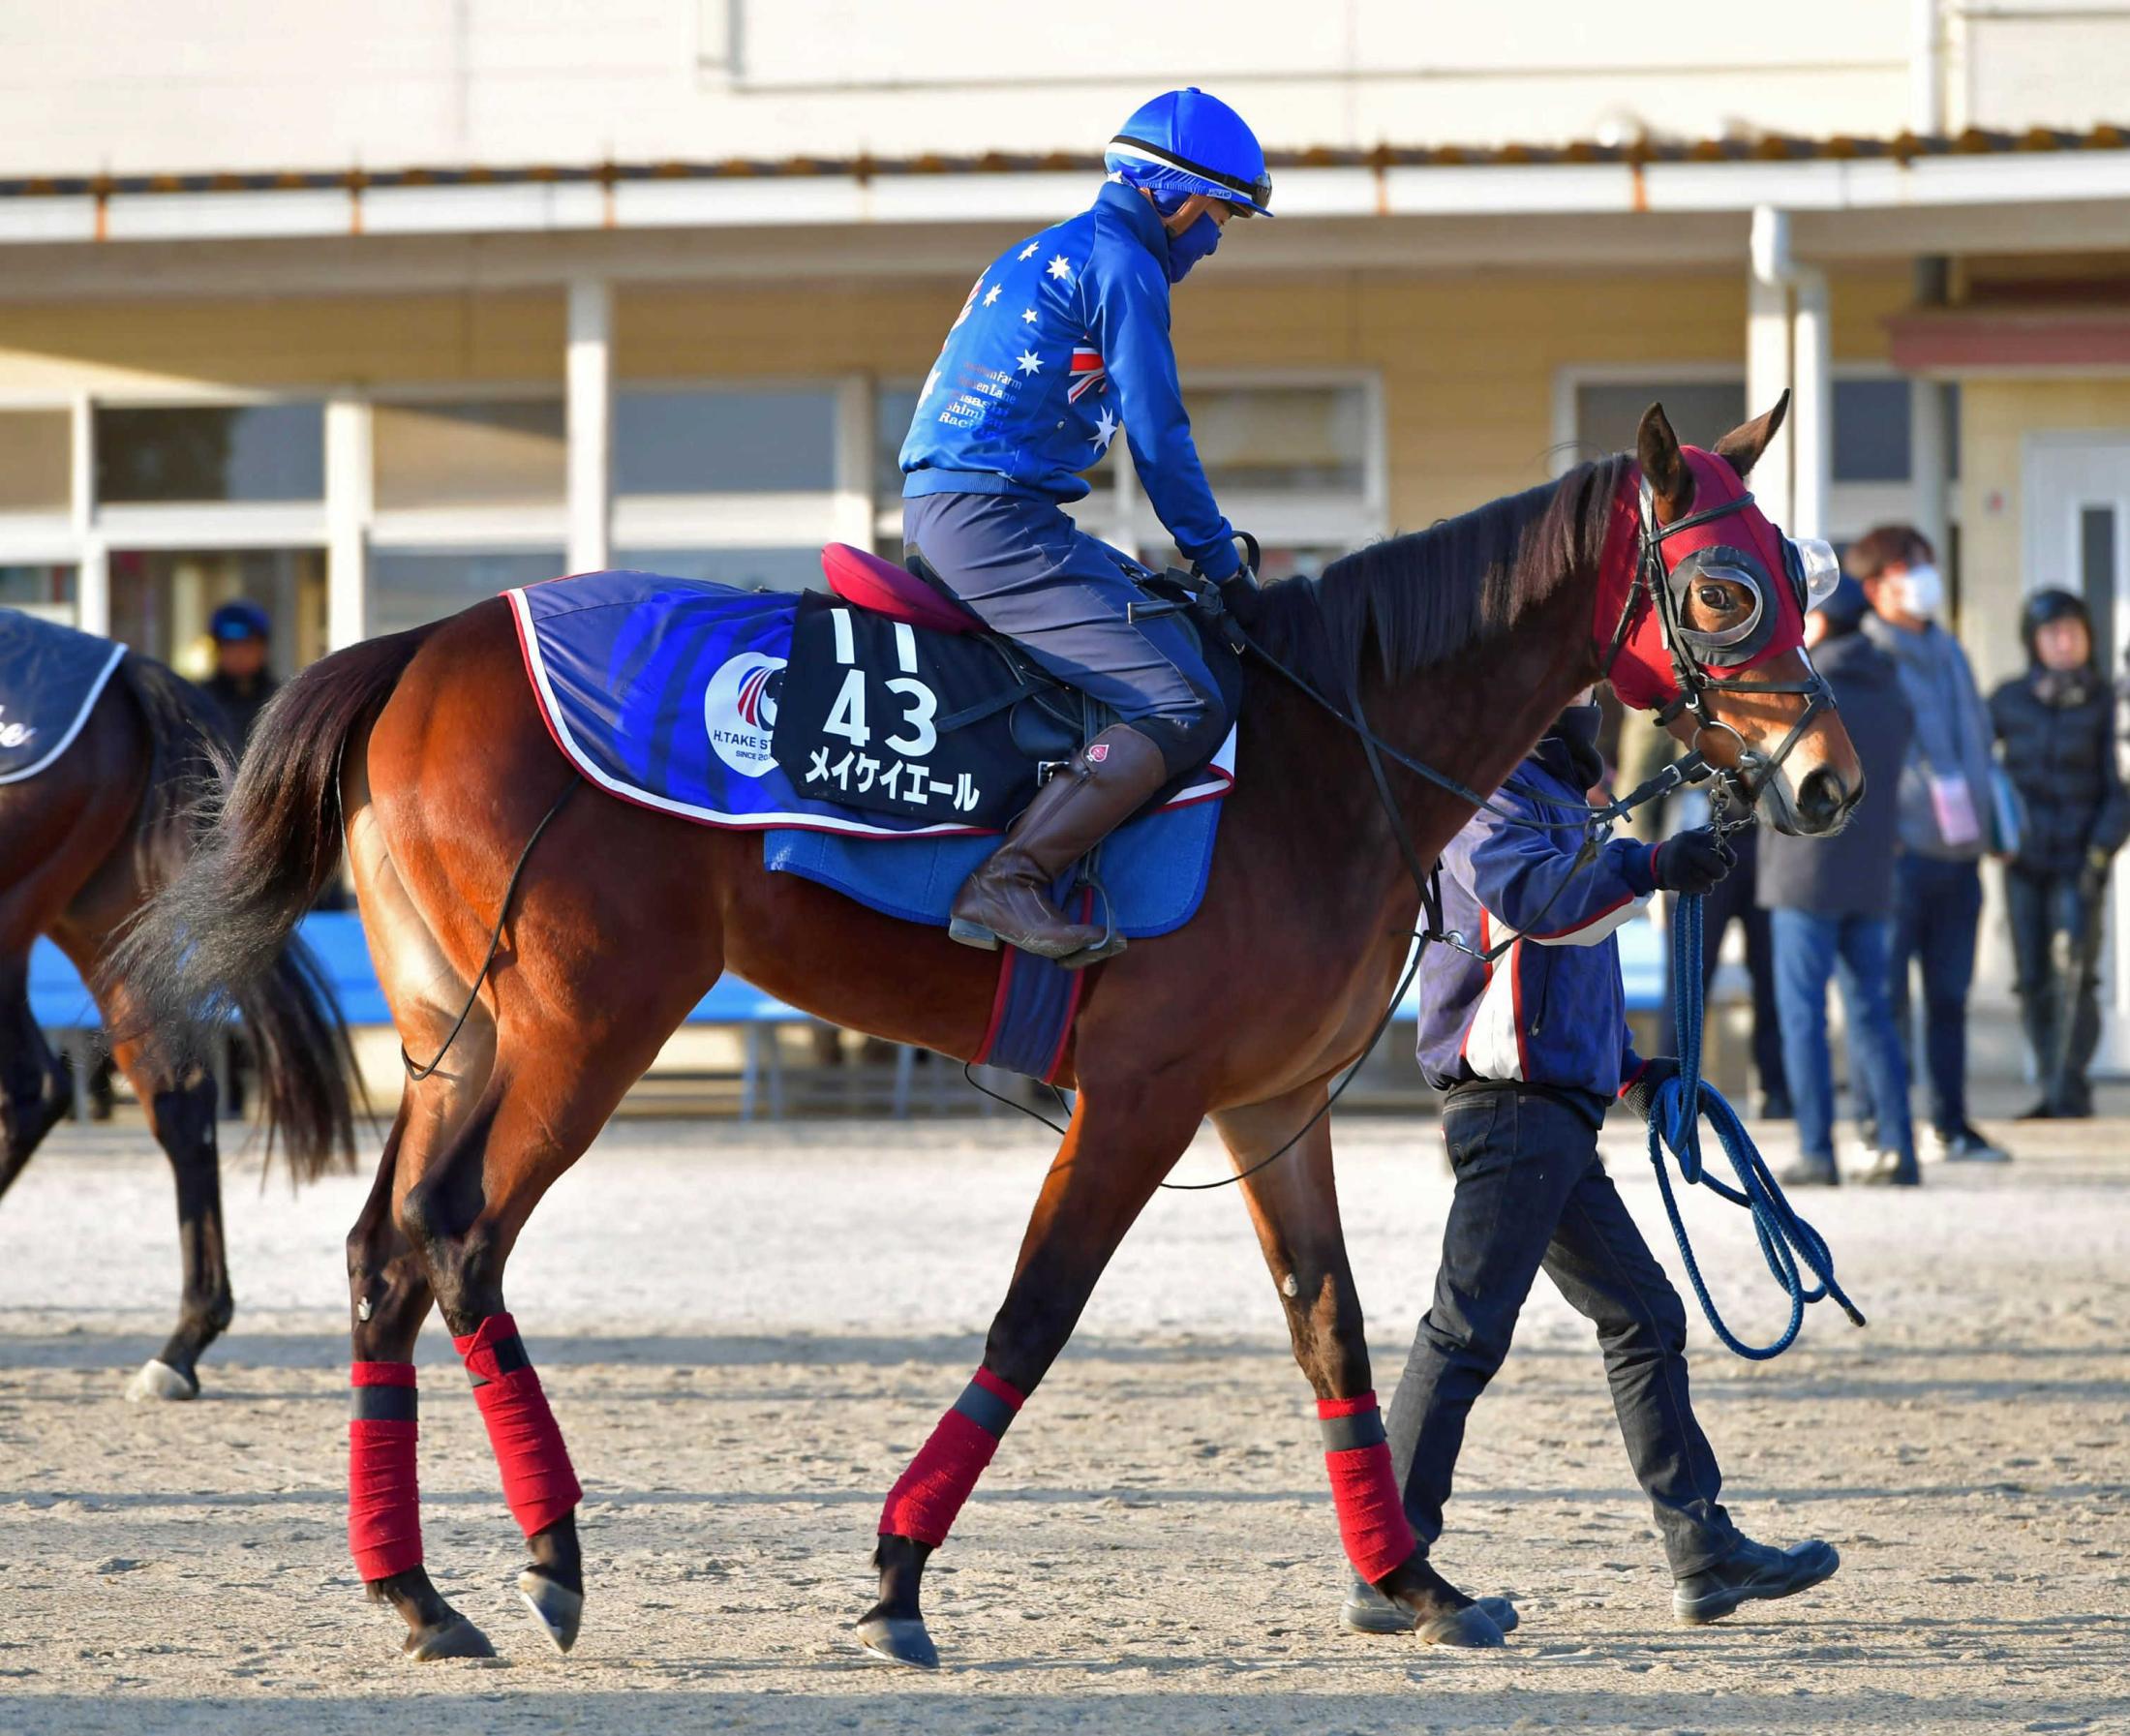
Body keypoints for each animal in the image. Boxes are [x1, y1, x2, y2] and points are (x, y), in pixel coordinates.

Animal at [124, 405, 1866, 1669]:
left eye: (1804, 574)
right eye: (1726, 587)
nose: (1833, 781)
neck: (1323, 749)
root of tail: (418, 644)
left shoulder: (1273, 1105)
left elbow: (1335, 1329)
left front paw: (1412, 1580)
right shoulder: (1142, 1097)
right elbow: (1032, 1320)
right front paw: (897, 1575)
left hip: (457, 1032)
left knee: (385, 1252)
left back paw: (419, 1591)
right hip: (586, 1024)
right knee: (461, 1239)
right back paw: (547, 1547)